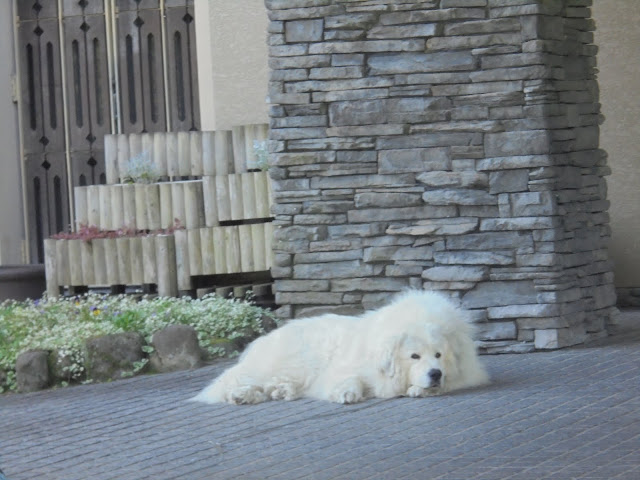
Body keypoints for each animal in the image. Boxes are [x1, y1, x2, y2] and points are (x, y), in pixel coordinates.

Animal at [192, 288, 488, 404]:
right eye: (414, 356)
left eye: (439, 355)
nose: (435, 373)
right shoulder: (347, 369)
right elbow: (349, 379)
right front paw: (347, 393)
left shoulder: (466, 374)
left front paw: (421, 389)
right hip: (286, 364)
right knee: (243, 381)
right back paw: (243, 394)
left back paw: (278, 391)